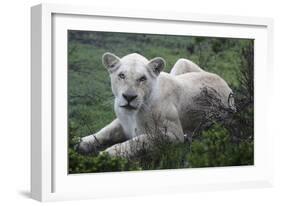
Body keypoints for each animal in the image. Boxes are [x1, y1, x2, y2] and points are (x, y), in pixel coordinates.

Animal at [76, 52, 234, 157]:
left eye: (142, 78)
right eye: (121, 75)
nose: (129, 97)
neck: (132, 114)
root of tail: (224, 82)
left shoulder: (174, 134)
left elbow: (140, 139)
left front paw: (107, 153)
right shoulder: (121, 122)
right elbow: (105, 131)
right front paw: (81, 142)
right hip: (181, 63)